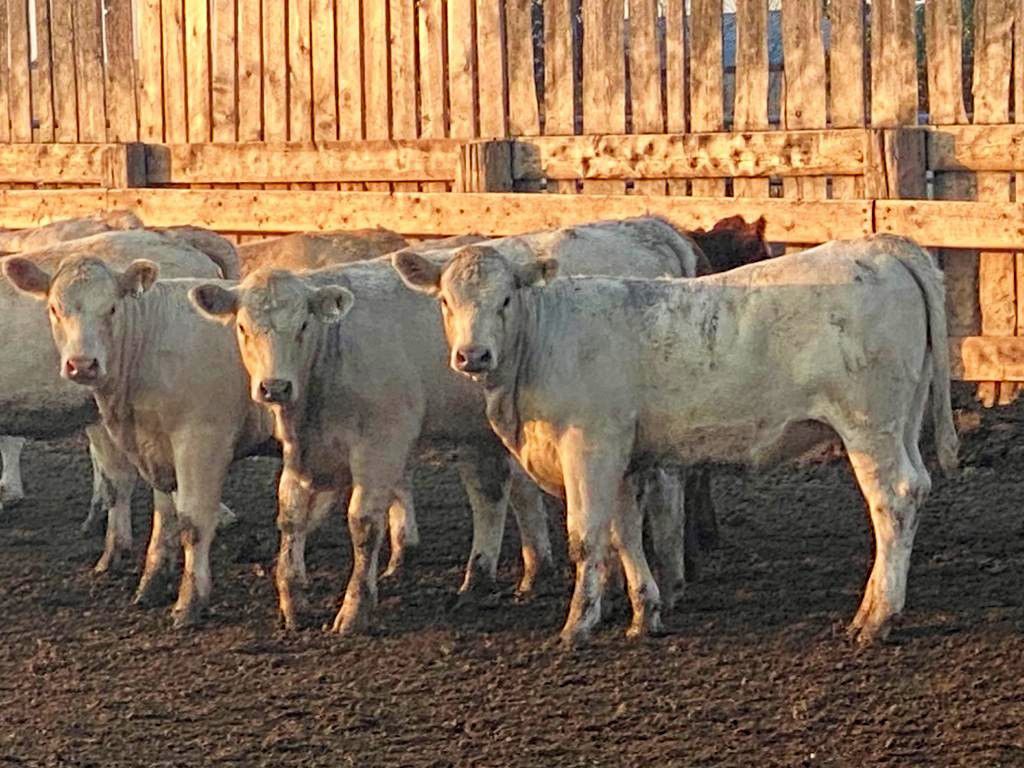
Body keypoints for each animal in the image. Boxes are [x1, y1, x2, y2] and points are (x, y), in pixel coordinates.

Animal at [3, 246, 271, 626]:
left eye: (112, 308)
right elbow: (162, 514)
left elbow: (192, 520)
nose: (82, 365)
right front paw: (148, 582)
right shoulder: (155, 445)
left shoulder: (201, 441)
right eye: (55, 308)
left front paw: (189, 602)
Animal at [189, 217, 711, 634]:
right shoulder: (303, 451)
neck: (332, 350)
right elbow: (290, 516)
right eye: (242, 328)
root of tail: (652, 227)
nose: (274, 387)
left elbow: (363, 523)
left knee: (664, 490)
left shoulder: (382, 442)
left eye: (302, 326)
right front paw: (292, 600)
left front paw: (355, 609)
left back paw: (669, 579)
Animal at [393, 233, 959, 647]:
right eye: (445, 300)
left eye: (506, 299)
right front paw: (645, 612)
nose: (473, 355)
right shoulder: (624, 457)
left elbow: (587, 537)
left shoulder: (590, 446)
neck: (543, 342)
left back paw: (877, 618)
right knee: (917, 488)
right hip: (903, 422)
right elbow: (624, 535)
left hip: (868, 425)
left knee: (894, 500)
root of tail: (882, 246)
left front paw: (578, 624)